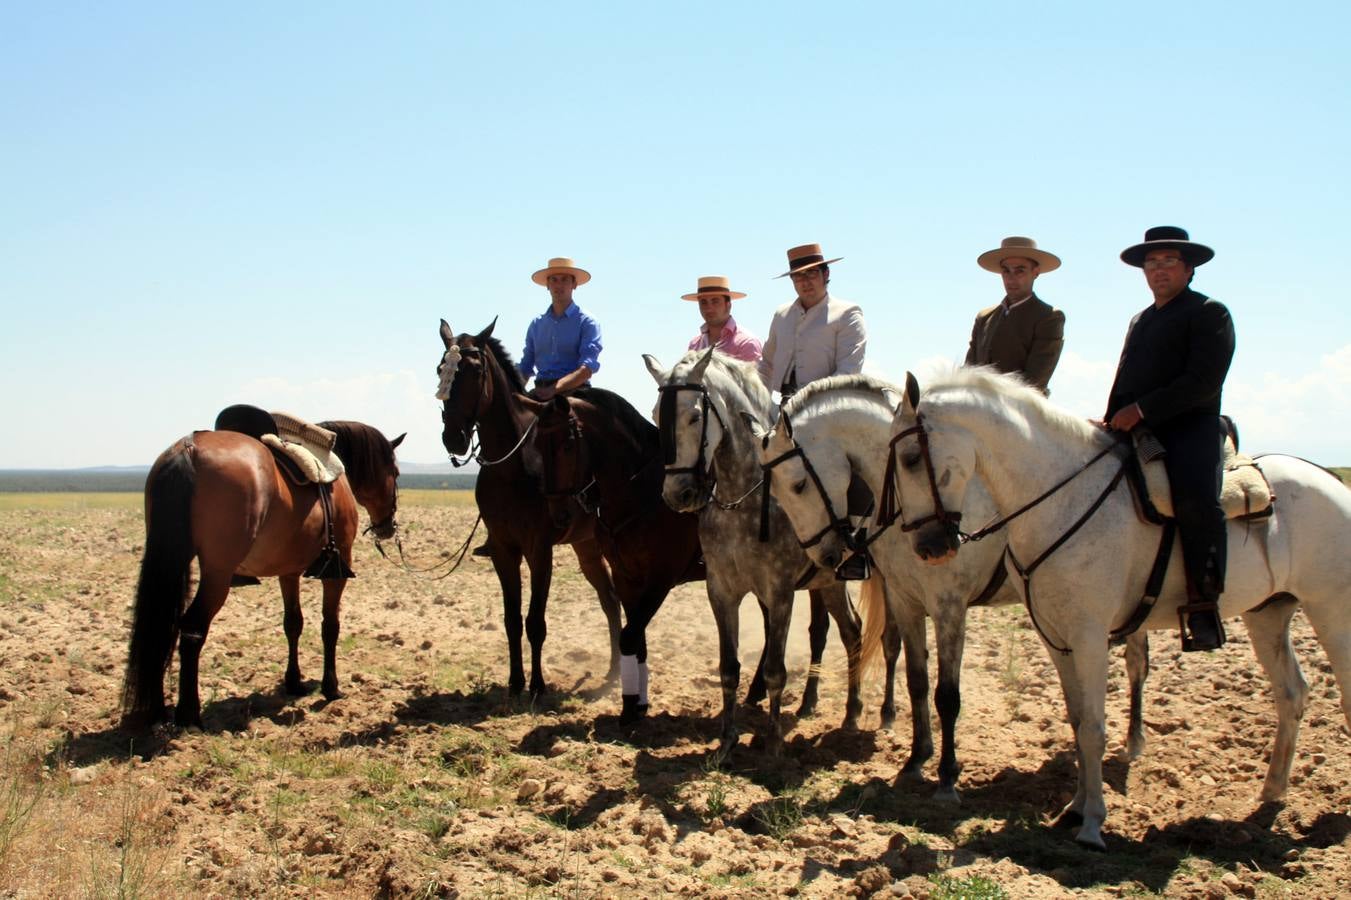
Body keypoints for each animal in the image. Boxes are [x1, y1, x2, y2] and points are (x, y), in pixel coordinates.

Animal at [121, 416, 399, 724]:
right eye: (396, 472)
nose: (388, 526)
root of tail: (188, 449)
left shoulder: (288, 572)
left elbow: (293, 623)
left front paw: (294, 682)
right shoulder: (336, 572)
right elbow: (330, 626)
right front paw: (331, 687)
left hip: (172, 558)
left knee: (162, 627)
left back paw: (156, 709)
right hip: (217, 573)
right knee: (192, 629)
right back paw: (189, 713)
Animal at [437, 317, 621, 691]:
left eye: (476, 371)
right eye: (440, 369)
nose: (454, 437)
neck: (513, 466)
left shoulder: (539, 551)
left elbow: (536, 621)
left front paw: (536, 686)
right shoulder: (504, 550)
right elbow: (512, 620)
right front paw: (515, 682)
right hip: (587, 546)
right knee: (609, 600)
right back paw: (612, 671)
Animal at [524, 391, 707, 724]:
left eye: (567, 445)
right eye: (538, 447)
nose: (559, 513)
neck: (639, 493)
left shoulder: (660, 580)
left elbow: (630, 637)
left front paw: (630, 708)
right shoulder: (626, 577)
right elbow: (638, 641)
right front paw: (638, 703)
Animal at [751, 370, 1151, 800]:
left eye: (798, 485)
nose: (826, 554)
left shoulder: (949, 606)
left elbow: (947, 694)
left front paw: (946, 774)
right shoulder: (905, 598)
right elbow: (917, 680)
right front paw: (916, 759)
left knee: (1136, 662)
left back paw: (1133, 741)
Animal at [886, 367, 1351, 843]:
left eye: (910, 458)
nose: (929, 547)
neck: (1059, 498)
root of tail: (1331, 480)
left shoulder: (1089, 635)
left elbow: (1093, 727)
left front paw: (1093, 824)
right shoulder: (1056, 637)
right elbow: (1077, 721)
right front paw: (1074, 808)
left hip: (1333, 610)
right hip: (1269, 614)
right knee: (1291, 693)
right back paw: (1272, 791)